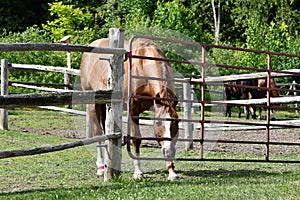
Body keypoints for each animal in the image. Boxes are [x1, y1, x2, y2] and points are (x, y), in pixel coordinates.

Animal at [79, 37, 179, 180]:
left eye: (177, 121)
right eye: (159, 123)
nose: (169, 152)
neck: (143, 66)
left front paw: (171, 171)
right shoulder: (133, 111)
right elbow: (136, 139)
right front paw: (138, 172)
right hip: (93, 104)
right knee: (98, 132)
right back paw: (101, 166)